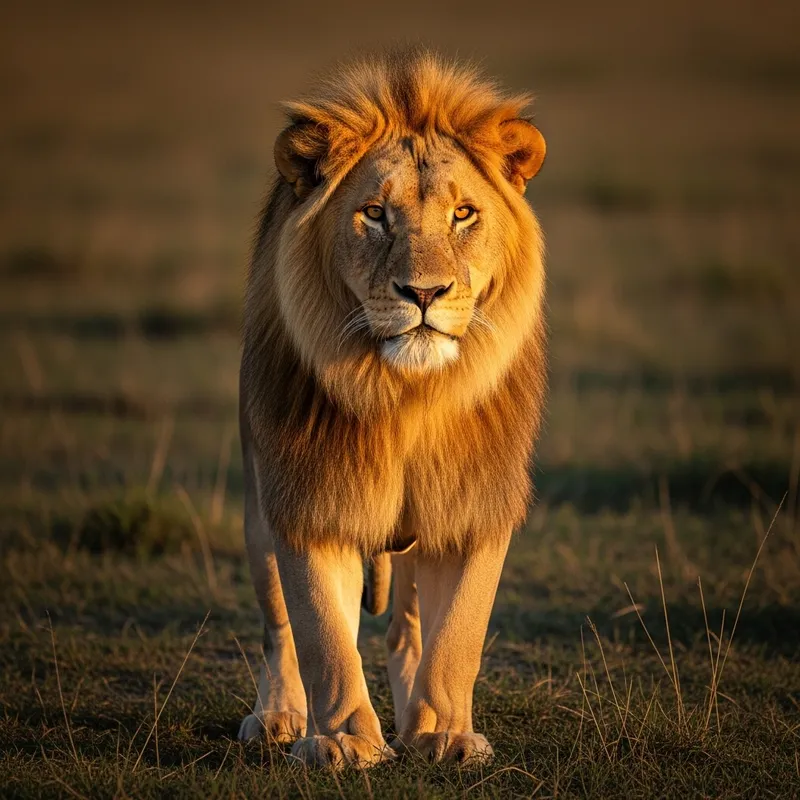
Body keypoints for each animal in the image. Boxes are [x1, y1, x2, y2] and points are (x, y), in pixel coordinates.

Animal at [237, 48, 547, 768]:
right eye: (375, 214)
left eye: (463, 214)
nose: (425, 292)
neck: (407, 396)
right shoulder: (308, 494)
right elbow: (322, 633)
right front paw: (344, 741)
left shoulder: (474, 500)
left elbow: (459, 631)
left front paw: (446, 734)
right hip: (258, 503)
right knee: (279, 629)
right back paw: (279, 716)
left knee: (407, 628)